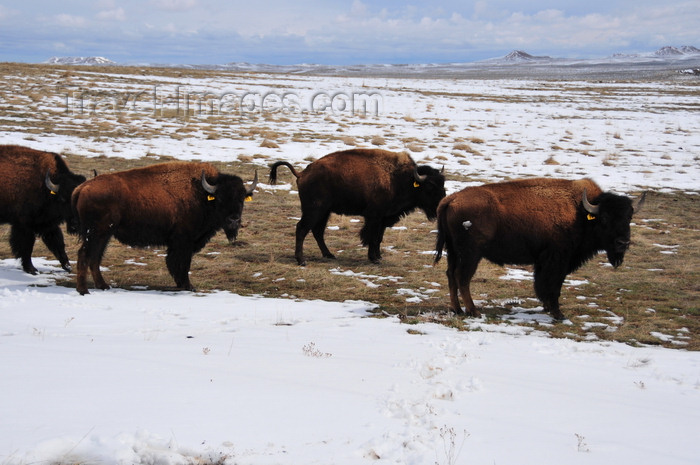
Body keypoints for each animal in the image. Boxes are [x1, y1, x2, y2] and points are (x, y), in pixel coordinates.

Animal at [0, 145, 86, 274]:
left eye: (79, 200)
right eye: (62, 198)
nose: (76, 224)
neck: (44, 187)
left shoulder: (47, 223)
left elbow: (58, 243)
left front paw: (67, 266)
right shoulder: (24, 225)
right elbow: (27, 246)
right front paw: (31, 269)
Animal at [72, 161, 258, 294]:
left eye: (241, 198)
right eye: (220, 198)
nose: (233, 220)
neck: (202, 194)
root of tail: (83, 187)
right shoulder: (184, 242)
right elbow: (182, 263)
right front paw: (188, 286)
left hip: (104, 234)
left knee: (95, 257)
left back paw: (103, 286)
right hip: (97, 232)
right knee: (85, 254)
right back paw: (84, 290)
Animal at [270, 149, 446, 264]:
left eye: (443, 184)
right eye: (430, 186)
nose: (441, 205)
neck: (400, 179)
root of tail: (302, 173)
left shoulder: (383, 218)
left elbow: (379, 238)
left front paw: (378, 256)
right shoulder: (374, 217)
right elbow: (372, 237)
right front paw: (374, 259)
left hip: (324, 212)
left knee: (317, 232)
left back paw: (329, 255)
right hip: (314, 210)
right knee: (302, 229)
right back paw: (301, 260)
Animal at [434, 178, 648, 320]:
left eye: (628, 217)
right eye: (604, 218)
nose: (622, 243)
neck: (580, 212)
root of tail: (450, 200)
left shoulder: (544, 261)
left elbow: (542, 284)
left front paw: (547, 308)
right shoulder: (558, 260)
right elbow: (553, 286)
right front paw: (558, 313)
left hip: (453, 251)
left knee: (451, 275)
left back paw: (457, 309)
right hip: (471, 255)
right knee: (462, 278)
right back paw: (474, 311)